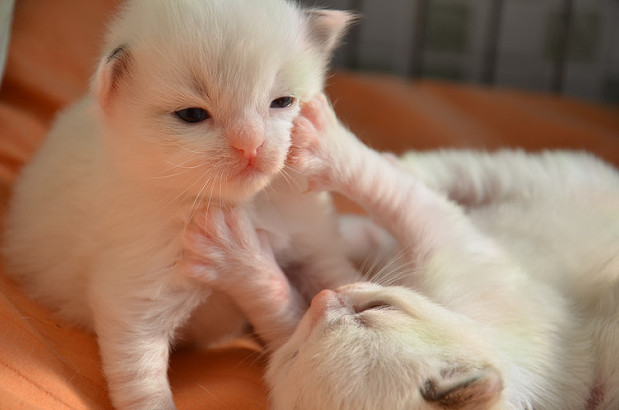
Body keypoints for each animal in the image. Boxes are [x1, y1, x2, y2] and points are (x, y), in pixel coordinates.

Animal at [1, 1, 358, 408]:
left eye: (283, 102)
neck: (239, 203)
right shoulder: (134, 300)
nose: (251, 145)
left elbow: (341, 281)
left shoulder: (314, 246)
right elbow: (143, 382)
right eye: (192, 115)